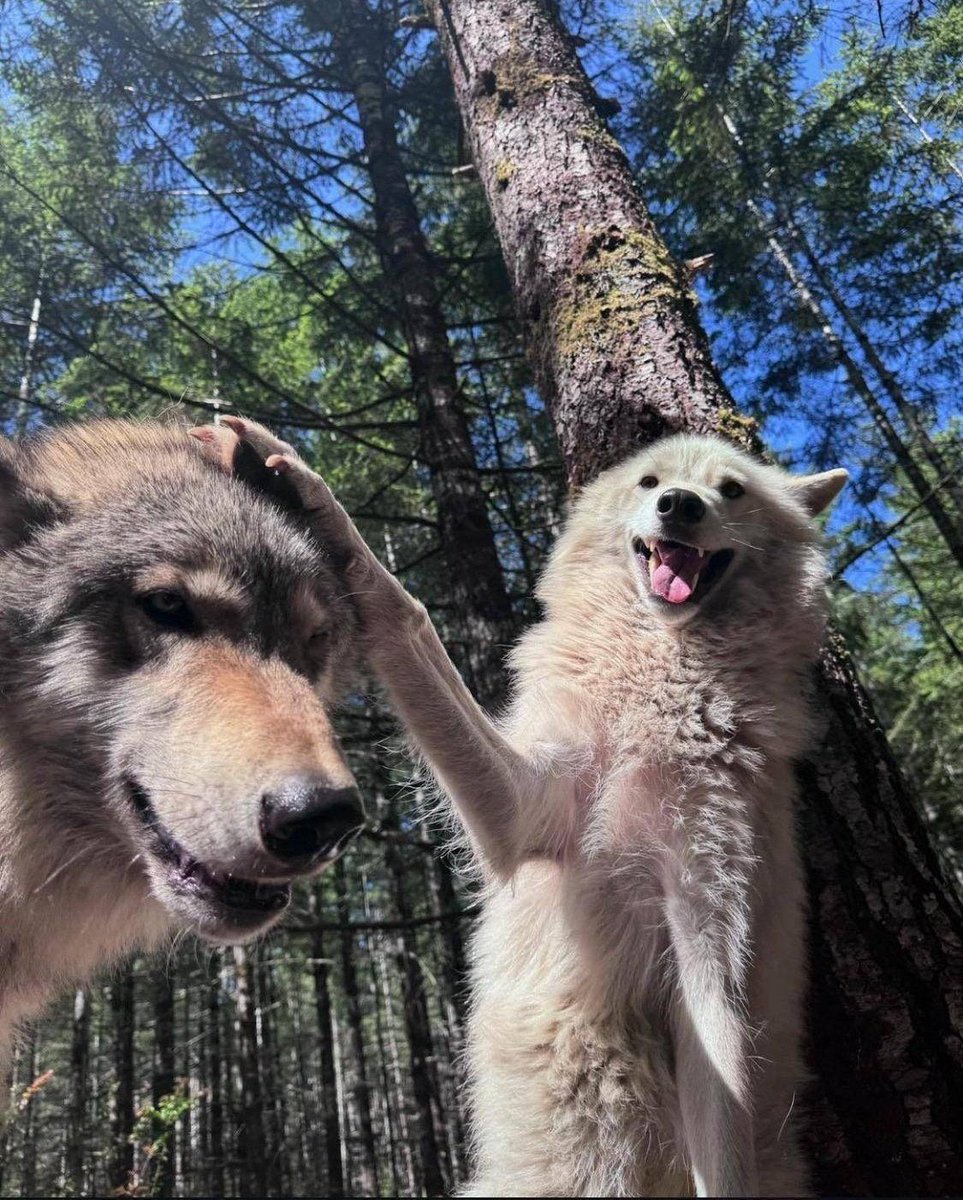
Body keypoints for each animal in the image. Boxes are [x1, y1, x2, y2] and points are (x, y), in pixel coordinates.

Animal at [227, 418, 846, 1197]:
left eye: (731, 490)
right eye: (650, 482)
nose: (679, 505)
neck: (660, 695)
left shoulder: (708, 938)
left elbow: (724, 1122)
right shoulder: (522, 807)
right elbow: (407, 616)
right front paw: (313, 498)